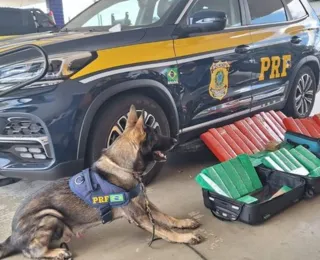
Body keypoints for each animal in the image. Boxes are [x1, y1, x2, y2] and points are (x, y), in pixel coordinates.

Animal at [0, 105, 201, 260]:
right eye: (157, 136)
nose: (175, 139)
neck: (122, 167)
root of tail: (12, 236)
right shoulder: (140, 216)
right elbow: (164, 230)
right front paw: (184, 237)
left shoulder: (146, 205)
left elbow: (167, 217)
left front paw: (183, 222)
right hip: (49, 216)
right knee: (32, 252)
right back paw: (56, 252)